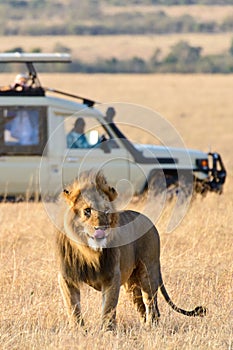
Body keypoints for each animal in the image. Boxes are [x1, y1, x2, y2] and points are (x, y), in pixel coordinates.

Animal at [56, 171, 206, 330]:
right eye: (87, 211)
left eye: (107, 211)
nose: (101, 229)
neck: (89, 252)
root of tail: (150, 222)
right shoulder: (66, 277)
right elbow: (73, 307)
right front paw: (78, 330)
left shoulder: (112, 276)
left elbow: (108, 307)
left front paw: (106, 331)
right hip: (131, 285)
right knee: (142, 307)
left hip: (148, 272)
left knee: (151, 304)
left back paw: (150, 328)